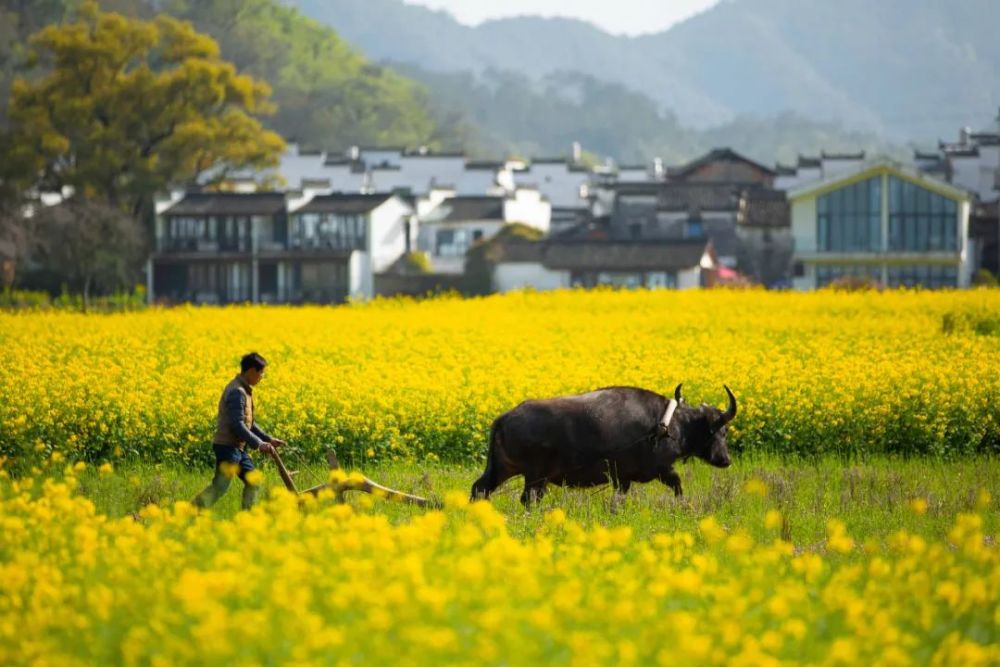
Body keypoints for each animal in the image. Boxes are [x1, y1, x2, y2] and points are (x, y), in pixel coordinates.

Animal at [468, 386, 736, 506]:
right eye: (720, 430)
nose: (726, 460)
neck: (666, 424)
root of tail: (505, 417)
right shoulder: (659, 470)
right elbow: (678, 484)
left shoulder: (625, 478)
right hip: (534, 476)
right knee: (526, 499)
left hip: (505, 469)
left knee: (481, 487)